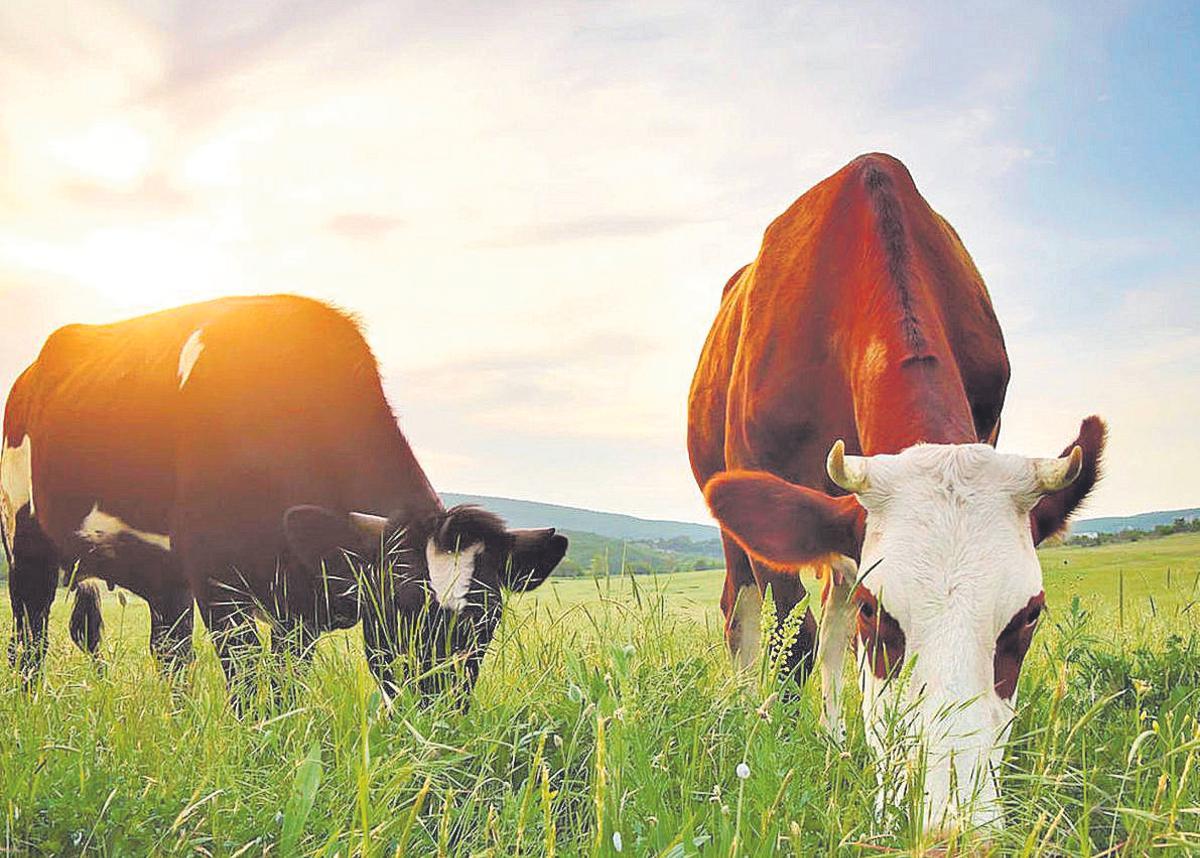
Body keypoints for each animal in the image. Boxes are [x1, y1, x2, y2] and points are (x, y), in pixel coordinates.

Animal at [1, 294, 567, 705]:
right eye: (400, 608)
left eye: (485, 621)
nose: (438, 712)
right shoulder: (217, 581)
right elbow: (250, 686)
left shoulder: (300, 606)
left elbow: (284, 686)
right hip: (25, 536)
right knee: (30, 636)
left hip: (162, 578)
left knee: (169, 652)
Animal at [687, 153, 1104, 834]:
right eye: (876, 612)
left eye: (1029, 617)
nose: (948, 825)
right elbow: (792, 642)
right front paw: (774, 750)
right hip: (732, 517)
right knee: (745, 612)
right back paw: (752, 713)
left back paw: (836, 739)